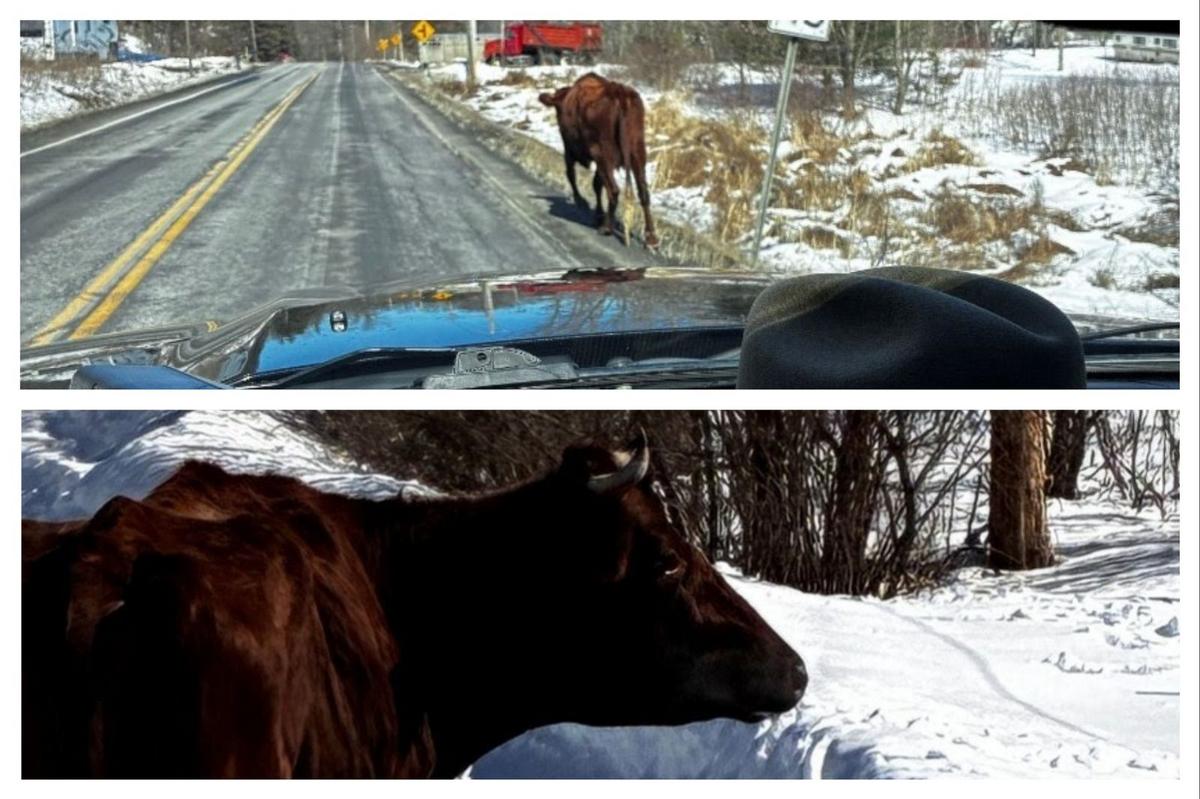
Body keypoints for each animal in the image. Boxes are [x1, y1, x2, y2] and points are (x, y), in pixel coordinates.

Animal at [539, 73, 659, 248]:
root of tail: (619, 92)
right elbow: (596, 183)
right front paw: (598, 214)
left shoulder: (570, 149)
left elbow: (572, 175)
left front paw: (582, 202)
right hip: (637, 152)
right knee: (643, 192)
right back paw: (651, 238)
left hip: (603, 153)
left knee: (613, 190)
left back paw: (607, 227)